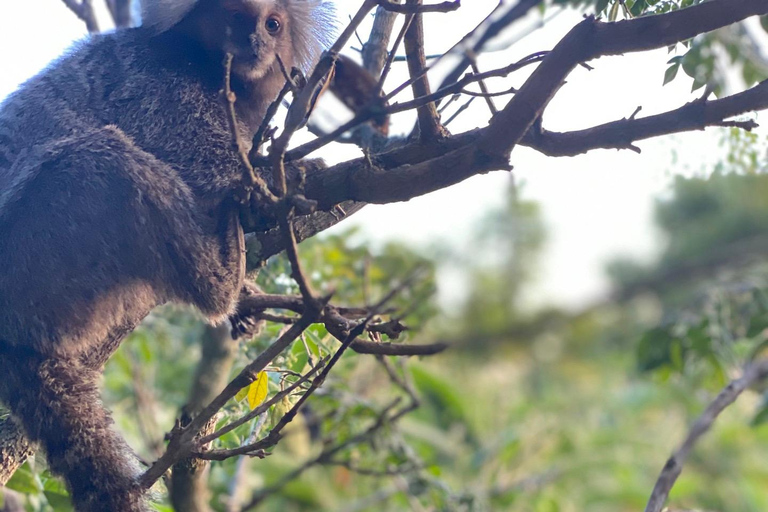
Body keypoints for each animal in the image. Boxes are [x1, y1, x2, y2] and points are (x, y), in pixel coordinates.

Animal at [0, 2, 334, 510]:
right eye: (236, 17)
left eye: (273, 24)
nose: (255, 42)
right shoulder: (160, 86)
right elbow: (213, 167)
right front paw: (291, 175)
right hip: (40, 237)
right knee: (106, 156)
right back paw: (222, 280)